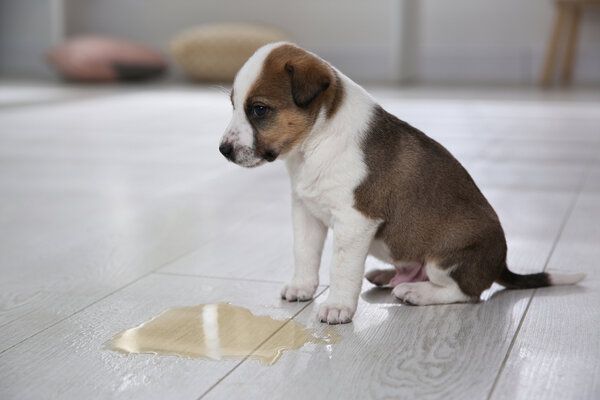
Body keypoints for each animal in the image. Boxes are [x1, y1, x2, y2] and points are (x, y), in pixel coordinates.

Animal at [218, 42, 584, 324]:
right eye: (234, 106)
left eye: (259, 110)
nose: (223, 150)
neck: (316, 143)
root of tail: (500, 264)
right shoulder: (306, 212)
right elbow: (304, 253)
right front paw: (302, 287)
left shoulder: (355, 222)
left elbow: (342, 268)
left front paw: (337, 306)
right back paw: (386, 275)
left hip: (446, 257)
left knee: (467, 292)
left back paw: (416, 291)